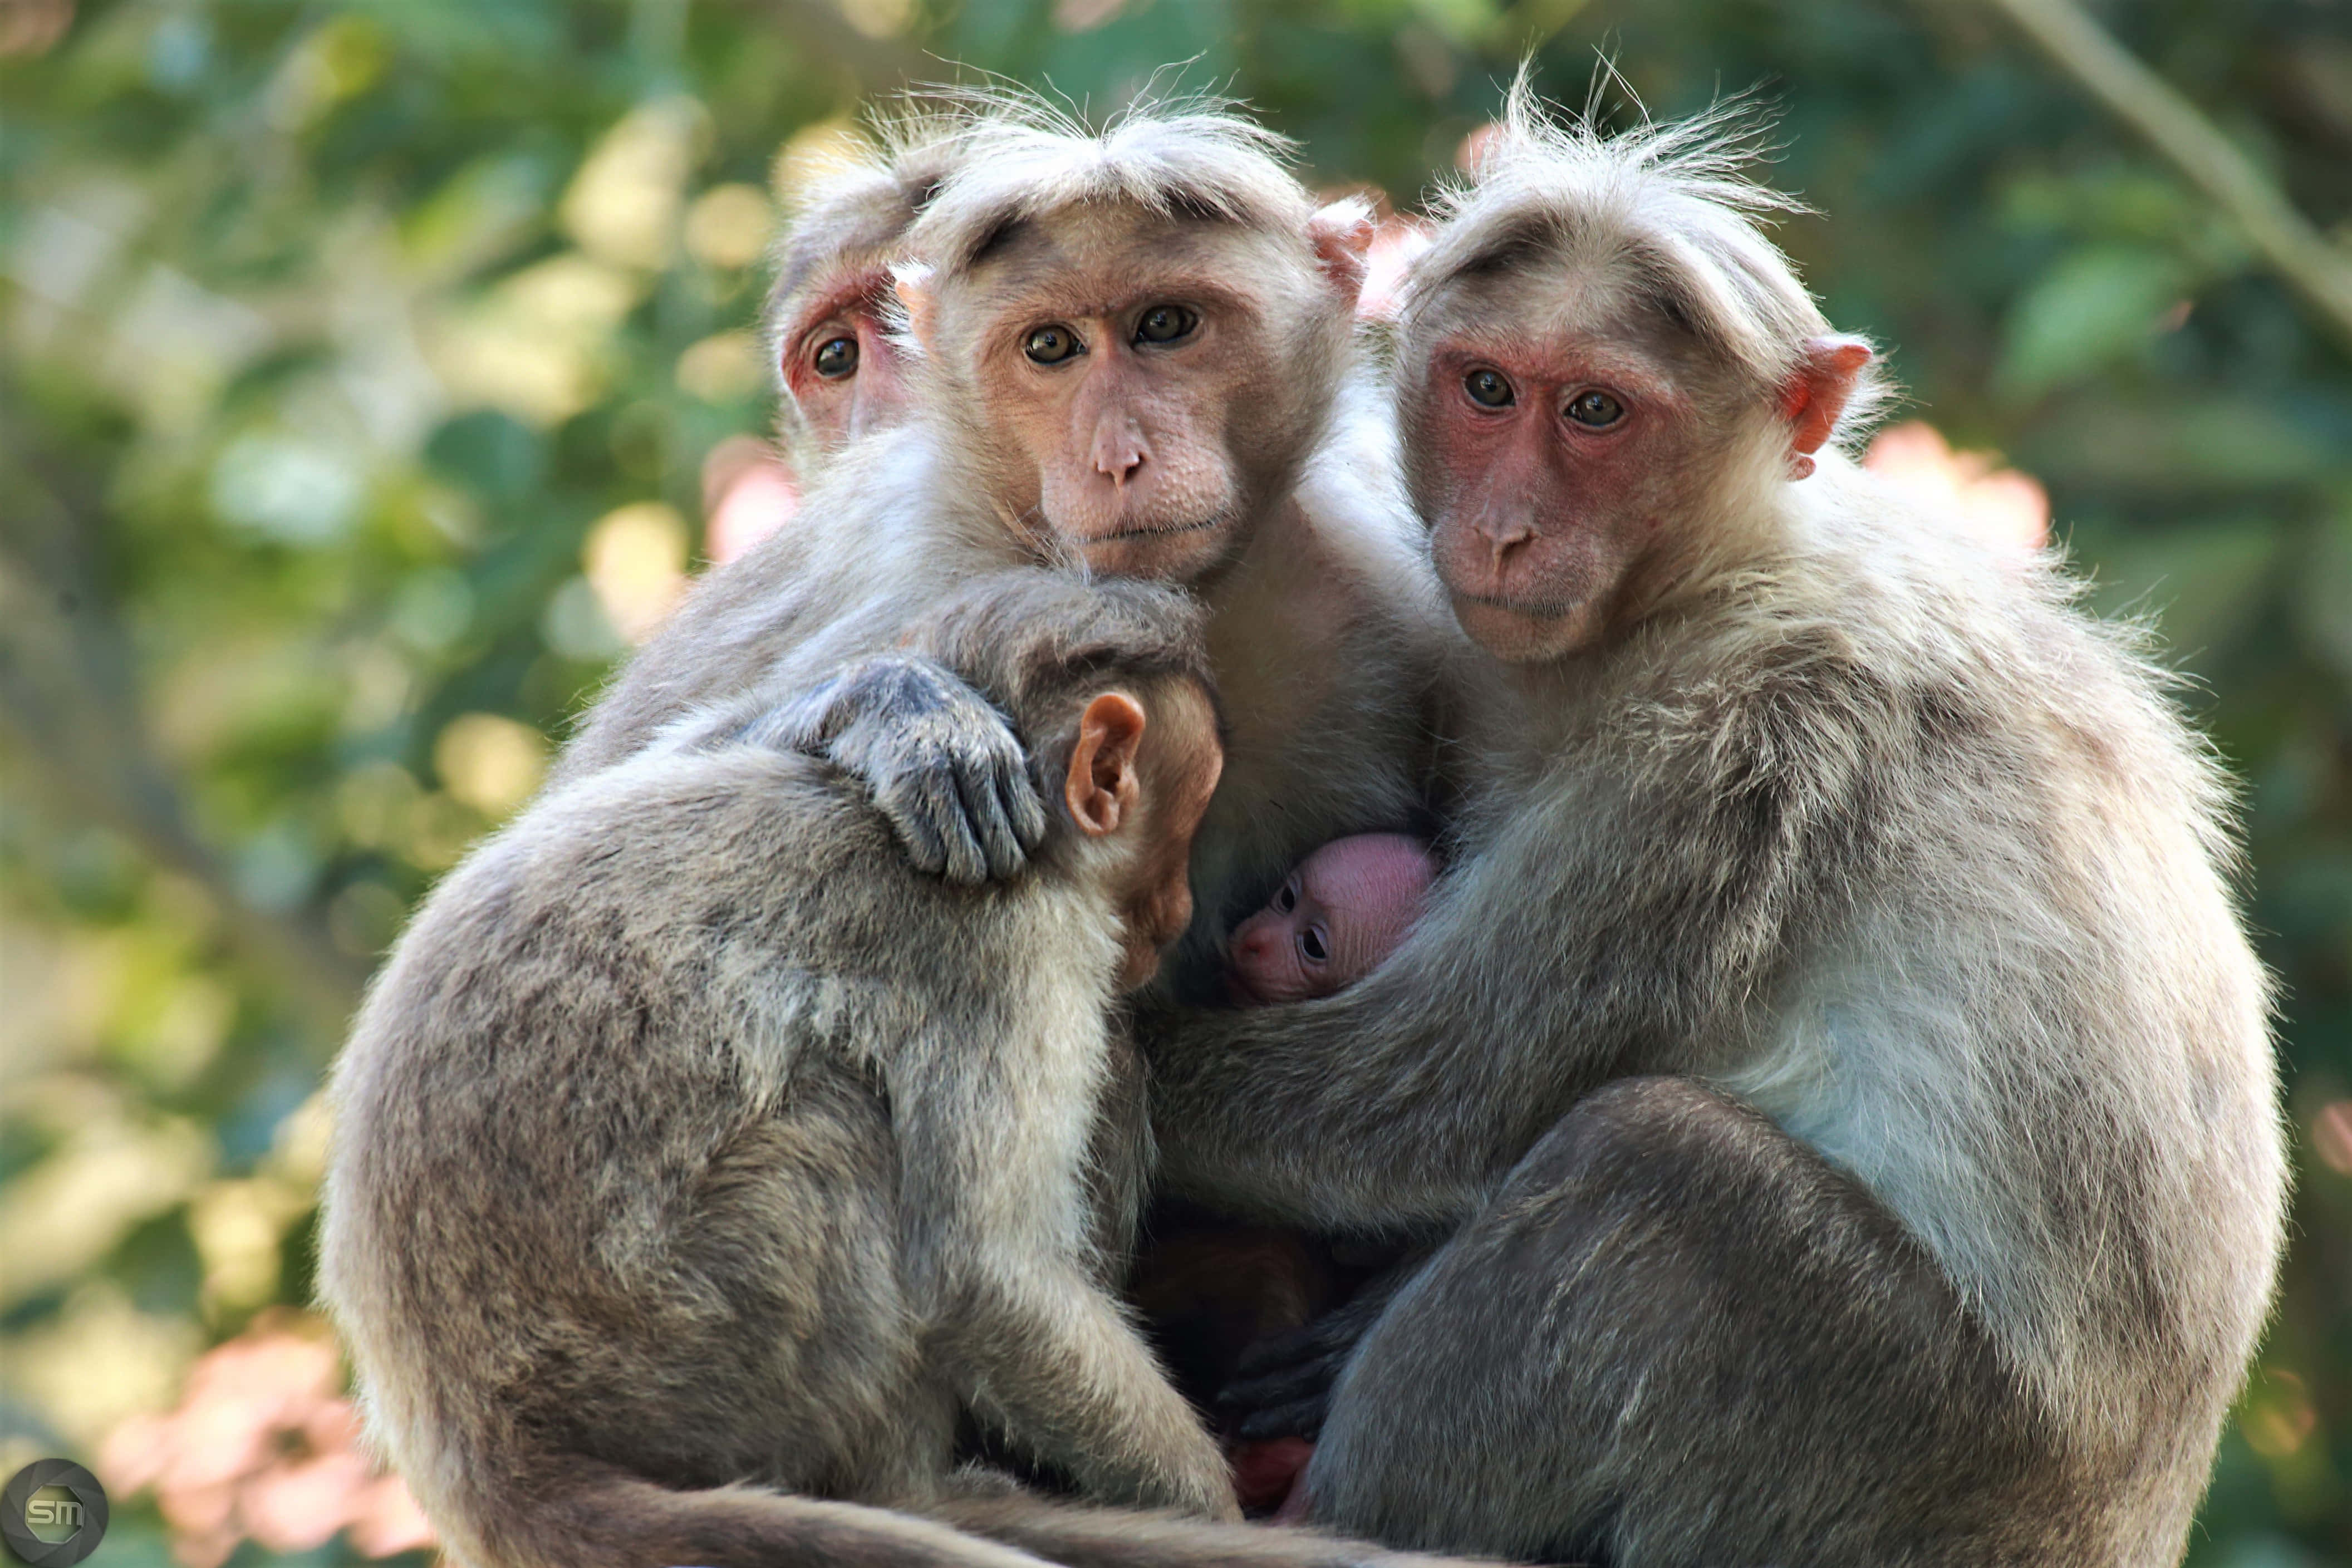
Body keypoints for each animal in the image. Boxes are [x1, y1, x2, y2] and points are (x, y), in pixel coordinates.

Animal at [1111, 83, 2288, 1566]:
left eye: (1596, 412)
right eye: (1488, 389)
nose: (1504, 530)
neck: (1700, 579)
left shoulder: (1733, 746)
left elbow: (1422, 1100)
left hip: (1892, 1442)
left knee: (1650, 1168)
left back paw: (1333, 1498)